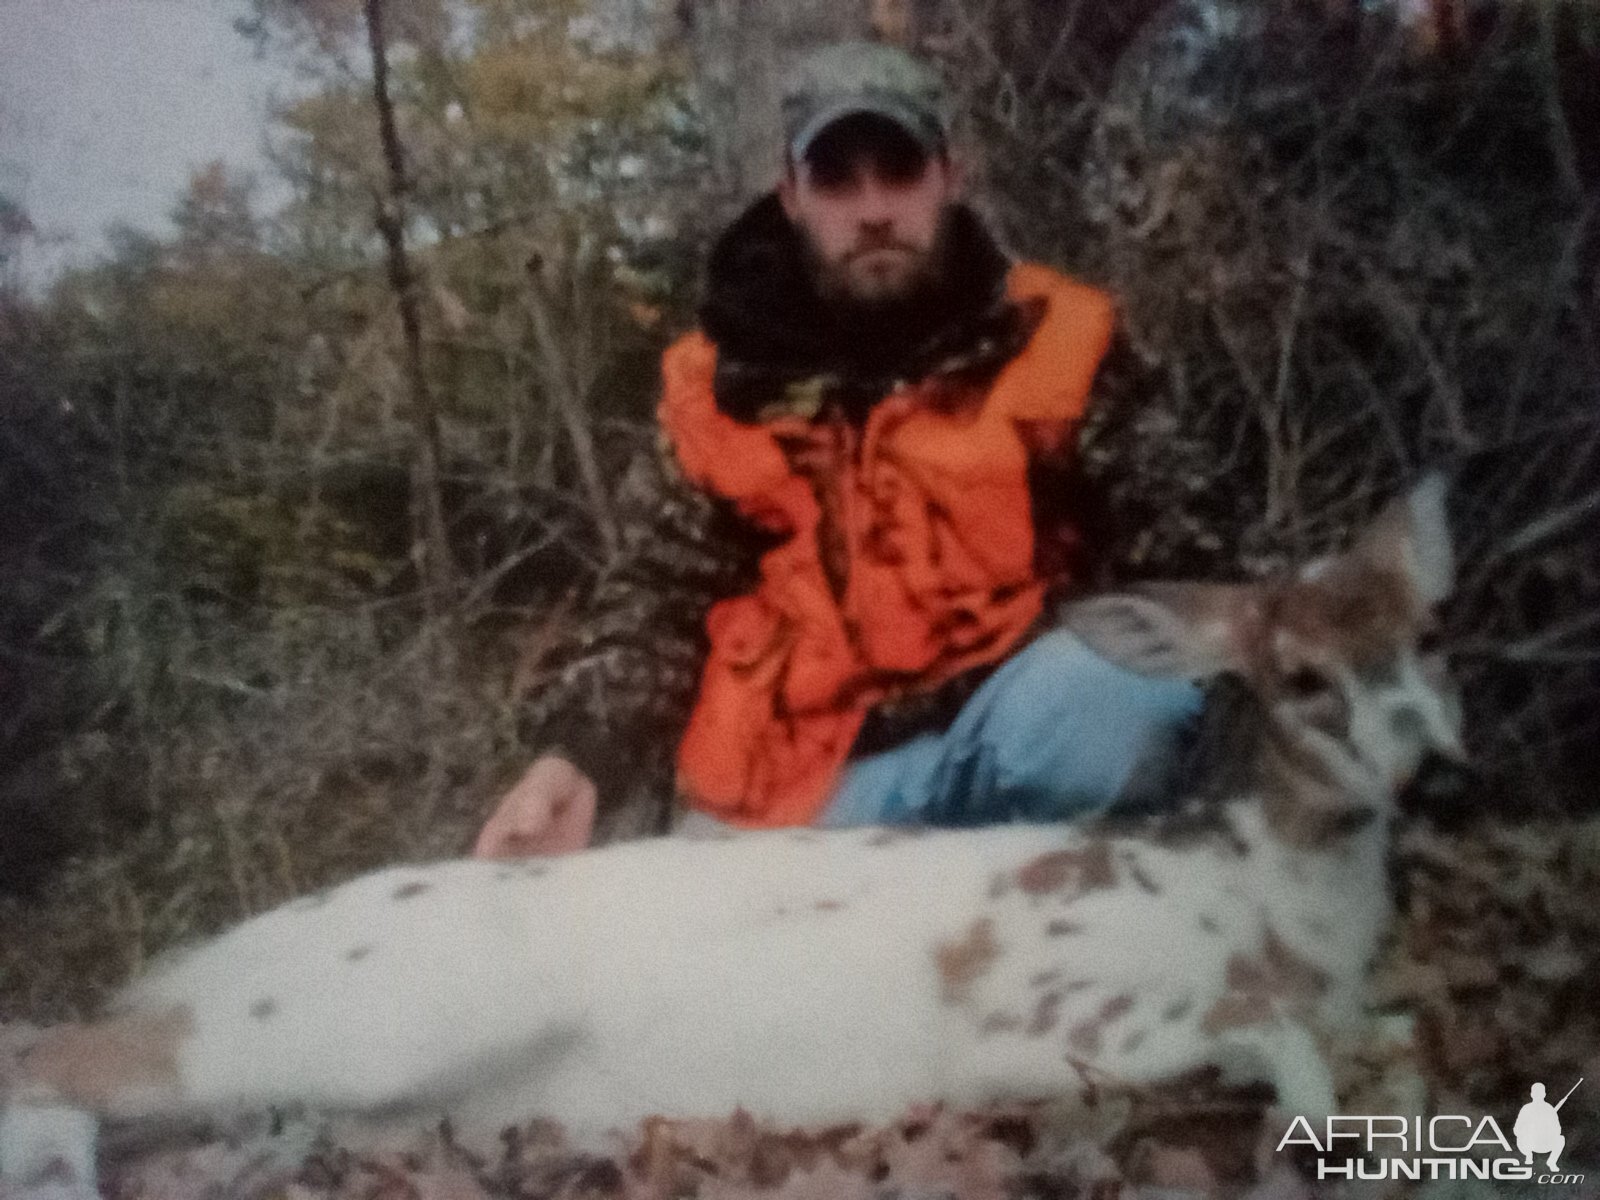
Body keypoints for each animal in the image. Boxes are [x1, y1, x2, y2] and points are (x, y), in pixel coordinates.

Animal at [0, 473, 1465, 1196]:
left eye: (1428, 632)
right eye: (1298, 678)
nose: (1436, 761)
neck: (1269, 899)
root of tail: (214, 955)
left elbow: (1382, 1039)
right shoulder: (1058, 1003)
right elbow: (1287, 1053)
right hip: (381, 1013)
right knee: (56, 1051)